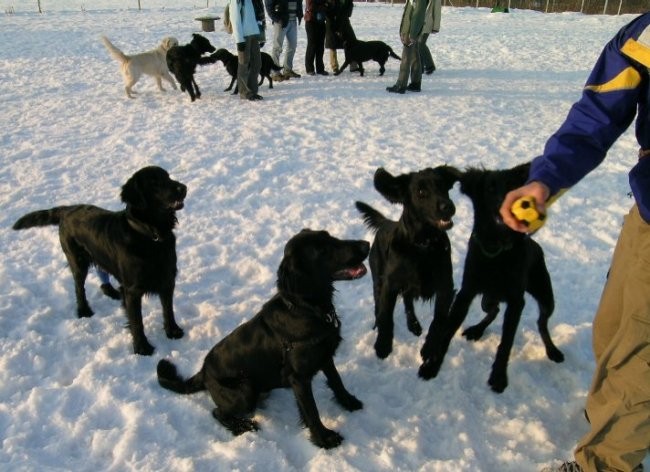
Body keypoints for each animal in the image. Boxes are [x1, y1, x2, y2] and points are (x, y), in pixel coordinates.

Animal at [12, 166, 187, 354]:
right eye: (154, 182)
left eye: (168, 177)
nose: (184, 188)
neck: (149, 235)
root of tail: (67, 210)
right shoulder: (132, 290)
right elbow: (137, 321)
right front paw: (142, 347)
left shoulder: (167, 279)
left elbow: (168, 310)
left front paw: (173, 331)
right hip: (78, 261)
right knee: (79, 288)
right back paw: (83, 310)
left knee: (101, 271)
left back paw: (111, 291)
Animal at [156, 230, 368, 448]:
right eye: (322, 250)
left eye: (330, 236)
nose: (366, 245)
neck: (307, 310)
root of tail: (203, 371)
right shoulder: (299, 378)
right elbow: (312, 411)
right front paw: (324, 438)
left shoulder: (325, 356)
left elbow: (336, 380)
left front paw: (348, 401)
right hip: (245, 391)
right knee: (217, 412)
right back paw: (242, 426)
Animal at [354, 164, 460, 360]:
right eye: (421, 191)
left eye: (443, 186)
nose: (448, 207)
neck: (423, 245)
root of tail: (386, 222)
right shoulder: (390, 284)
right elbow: (386, 315)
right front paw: (383, 344)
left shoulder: (445, 286)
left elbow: (439, 319)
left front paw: (430, 347)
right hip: (377, 278)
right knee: (380, 305)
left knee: (408, 301)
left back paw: (414, 326)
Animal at [420, 164, 560, 392]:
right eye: (490, 188)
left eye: (512, 186)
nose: (505, 203)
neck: (497, 247)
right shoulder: (466, 293)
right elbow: (448, 330)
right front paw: (432, 365)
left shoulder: (516, 301)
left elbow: (506, 343)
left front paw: (499, 377)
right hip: (487, 298)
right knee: (493, 311)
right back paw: (476, 330)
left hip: (546, 296)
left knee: (542, 322)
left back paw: (552, 350)